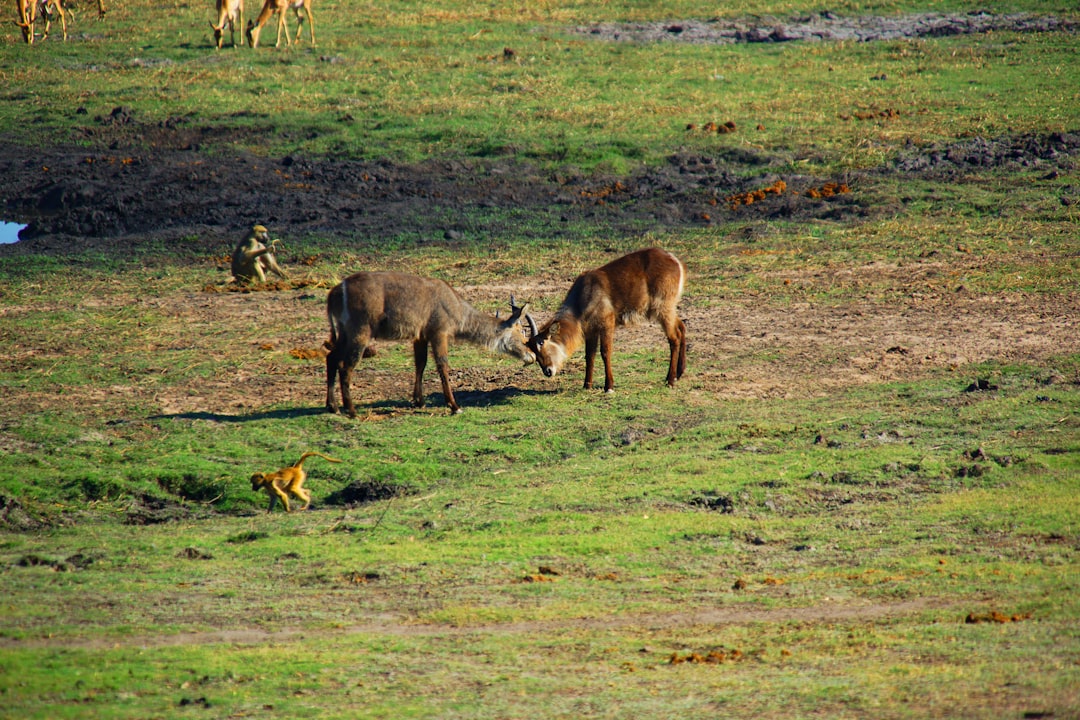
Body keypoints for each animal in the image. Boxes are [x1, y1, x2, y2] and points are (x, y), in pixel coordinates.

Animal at [324, 272, 535, 416]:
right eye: (522, 331)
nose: (532, 356)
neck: (457, 309)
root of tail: (333, 293)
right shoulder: (439, 332)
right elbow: (443, 365)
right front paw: (454, 406)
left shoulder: (420, 335)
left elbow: (421, 363)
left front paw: (419, 401)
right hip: (360, 331)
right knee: (346, 366)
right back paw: (351, 410)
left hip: (344, 332)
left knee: (331, 357)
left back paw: (333, 406)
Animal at [524, 248, 686, 395]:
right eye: (533, 350)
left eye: (541, 343)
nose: (547, 371)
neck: (583, 297)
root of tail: (674, 260)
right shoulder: (590, 330)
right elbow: (589, 355)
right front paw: (587, 385)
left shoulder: (607, 323)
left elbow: (605, 352)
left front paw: (609, 387)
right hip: (667, 308)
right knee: (681, 327)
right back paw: (678, 374)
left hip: (663, 308)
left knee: (674, 338)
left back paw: (670, 380)